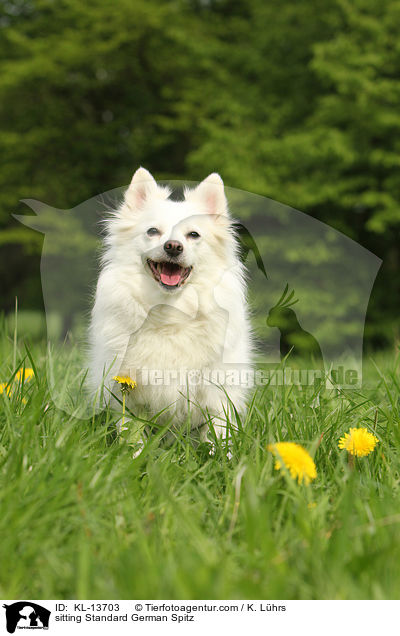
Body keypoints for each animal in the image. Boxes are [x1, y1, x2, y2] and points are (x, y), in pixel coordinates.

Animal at [90, 169, 253, 444]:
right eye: (153, 231)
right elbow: (132, 434)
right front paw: (133, 452)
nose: (173, 247)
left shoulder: (217, 394)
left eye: (193, 235)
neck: (171, 311)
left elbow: (217, 436)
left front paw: (221, 454)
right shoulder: (128, 394)